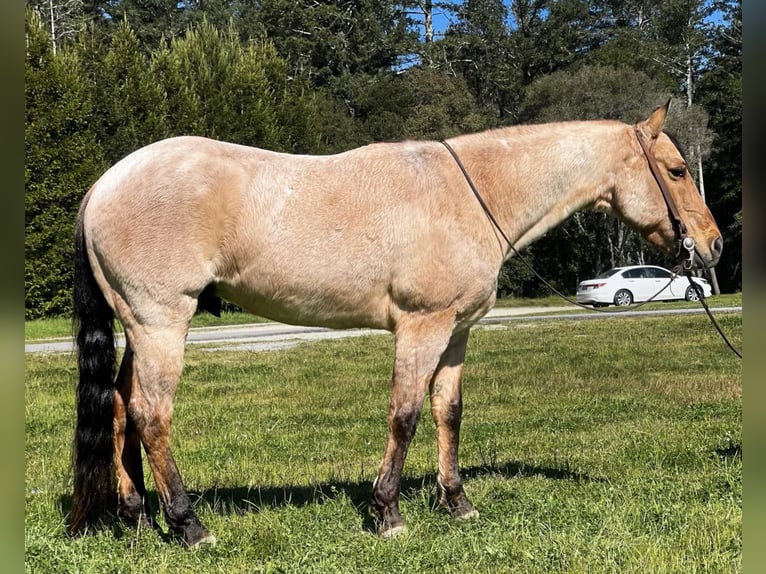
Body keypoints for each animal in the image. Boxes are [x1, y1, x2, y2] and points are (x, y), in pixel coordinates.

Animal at [69, 100, 724, 548]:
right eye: (675, 169)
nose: (714, 246)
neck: (471, 194)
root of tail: (103, 184)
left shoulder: (457, 332)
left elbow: (446, 412)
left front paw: (457, 502)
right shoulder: (421, 327)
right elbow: (404, 413)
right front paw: (388, 513)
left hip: (140, 327)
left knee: (122, 407)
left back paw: (134, 518)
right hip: (161, 322)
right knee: (152, 415)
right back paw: (188, 525)